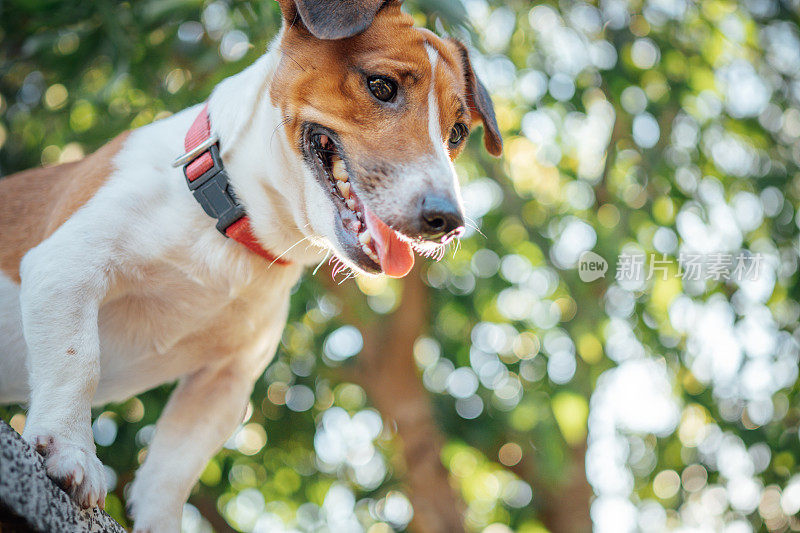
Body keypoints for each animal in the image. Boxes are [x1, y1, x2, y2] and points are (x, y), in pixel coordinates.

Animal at [0, 1, 500, 528]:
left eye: (457, 133)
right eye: (381, 86)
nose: (447, 220)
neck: (233, 223)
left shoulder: (223, 382)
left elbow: (171, 474)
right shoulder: (66, 267)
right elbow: (78, 361)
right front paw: (70, 452)